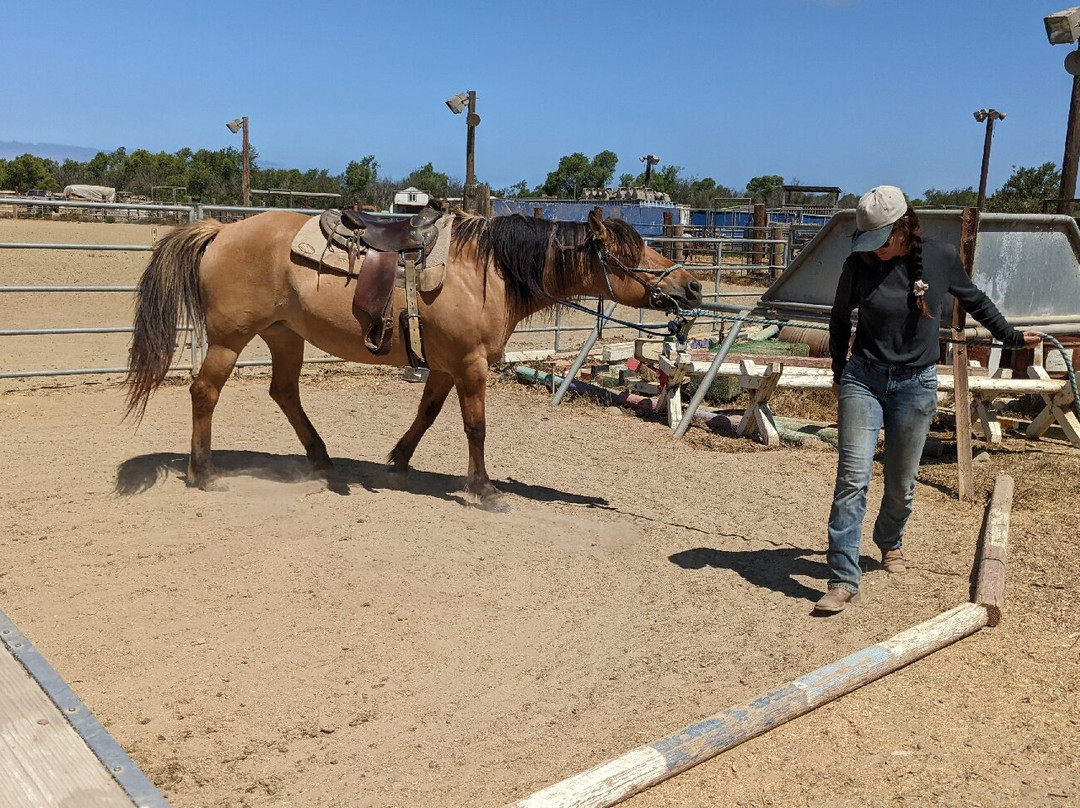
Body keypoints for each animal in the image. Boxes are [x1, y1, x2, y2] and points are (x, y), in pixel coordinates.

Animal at [124, 207, 702, 510]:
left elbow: (427, 414)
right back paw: (203, 472)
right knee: (205, 392)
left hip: (285, 336)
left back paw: (322, 460)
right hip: (230, 339)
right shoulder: (469, 364)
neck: (486, 271)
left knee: (284, 392)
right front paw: (484, 489)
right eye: (628, 254)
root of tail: (223, 229)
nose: (693, 285)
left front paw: (399, 461)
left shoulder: (445, 365)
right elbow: (475, 426)